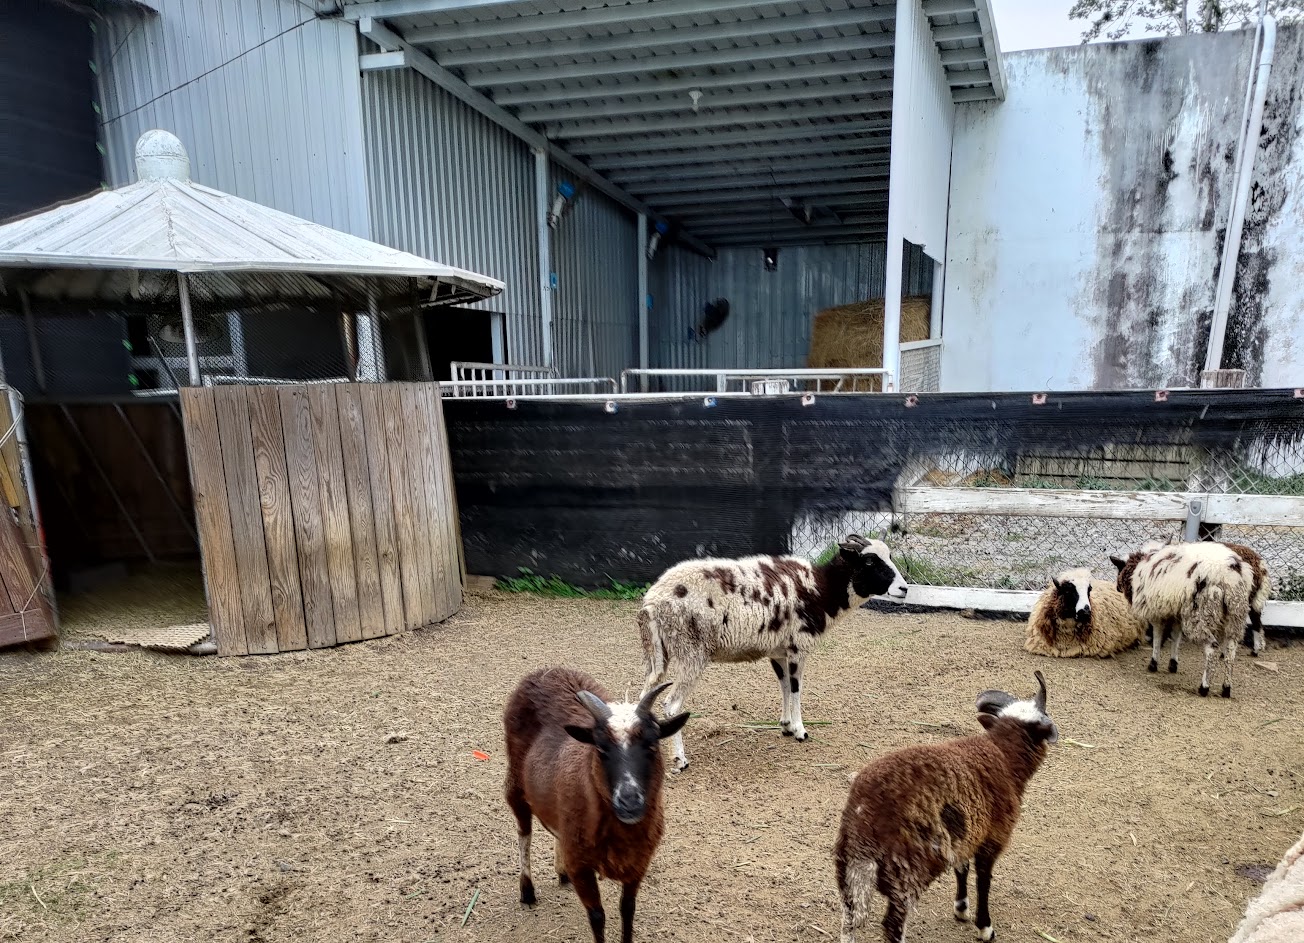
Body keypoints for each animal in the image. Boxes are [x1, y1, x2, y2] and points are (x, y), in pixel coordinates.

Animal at [503, 667, 689, 943]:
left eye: (652, 745)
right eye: (601, 750)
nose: (629, 801)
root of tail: (548, 670)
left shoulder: (638, 864)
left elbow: (627, 911)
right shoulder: (582, 867)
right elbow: (597, 916)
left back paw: (561, 873)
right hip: (515, 784)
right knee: (524, 832)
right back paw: (527, 891)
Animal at [639, 533, 908, 771]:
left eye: (889, 556)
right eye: (869, 561)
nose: (904, 589)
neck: (822, 589)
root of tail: (652, 602)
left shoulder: (778, 651)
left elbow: (785, 686)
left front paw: (786, 725)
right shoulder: (799, 647)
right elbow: (797, 688)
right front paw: (800, 730)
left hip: (657, 654)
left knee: (645, 696)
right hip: (691, 652)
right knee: (671, 706)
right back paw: (680, 760)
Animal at [834, 671, 1059, 943]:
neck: (1003, 756)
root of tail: (866, 810)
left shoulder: (966, 835)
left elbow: (962, 868)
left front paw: (961, 908)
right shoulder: (993, 836)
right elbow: (984, 879)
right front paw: (985, 927)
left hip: (849, 865)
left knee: (849, 918)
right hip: (906, 869)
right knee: (892, 925)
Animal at [1110, 540, 1253, 698]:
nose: (1117, 588)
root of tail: (1228, 576)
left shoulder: (1157, 612)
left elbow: (1157, 636)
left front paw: (1153, 663)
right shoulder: (1177, 612)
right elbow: (1176, 636)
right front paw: (1173, 663)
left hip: (1201, 614)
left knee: (1212, 648)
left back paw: (1204, 687)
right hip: (1235, 614)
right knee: (1231, 651)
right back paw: (1226, 688)